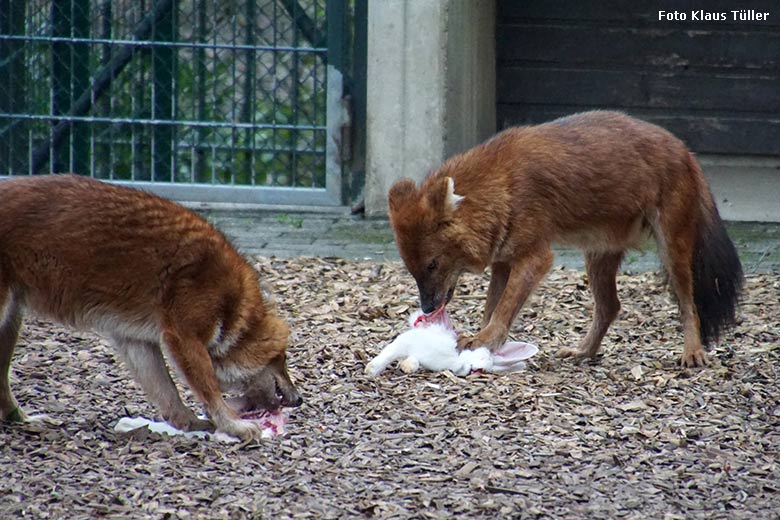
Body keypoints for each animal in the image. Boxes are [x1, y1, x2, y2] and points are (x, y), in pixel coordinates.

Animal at [0, 176, 302, 438]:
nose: (299, 399)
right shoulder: (183, 335)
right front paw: (233, 425)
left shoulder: (135, 340)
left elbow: (167, 392)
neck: (234, 304)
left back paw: (24, 420)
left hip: (12, 320)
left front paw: (189, 422)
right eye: (283, 358)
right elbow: (208, 389)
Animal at [390, 111, 744, 368]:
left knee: (688, 302)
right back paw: (584, 352)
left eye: (432, 265)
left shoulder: (534, 257)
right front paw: (483, 342)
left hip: (673, 246)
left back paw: (693, 352)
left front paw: (483, 341)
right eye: (412, 270)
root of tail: (685, 149)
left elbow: (504, 308)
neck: (501, 185)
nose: (427, 308)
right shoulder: (504, 260)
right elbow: (492, 306)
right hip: (598, 253)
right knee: (610, 306)